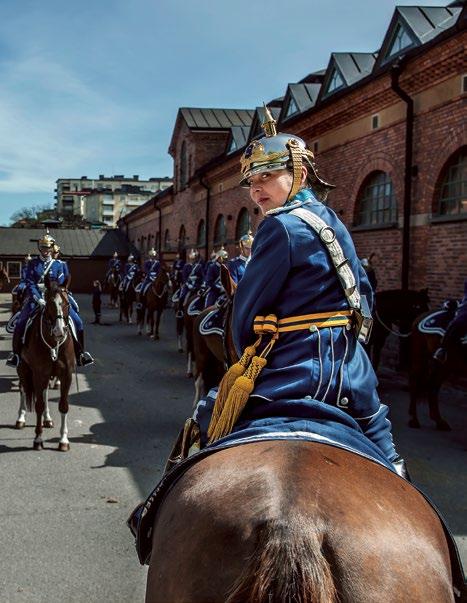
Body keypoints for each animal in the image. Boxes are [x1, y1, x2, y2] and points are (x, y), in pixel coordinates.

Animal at [16, 280, 75, 450]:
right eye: (48, 303)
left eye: (67, 303)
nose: (59, 331)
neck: (54, 344)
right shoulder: (39, 373)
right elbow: (38, 405)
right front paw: (38, 439)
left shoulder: (66, 375)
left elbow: (63, 405)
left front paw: (63, 440)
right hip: (23, 368)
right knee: (23, 389)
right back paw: (21, 418)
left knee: (45, 392)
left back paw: (47, 419)